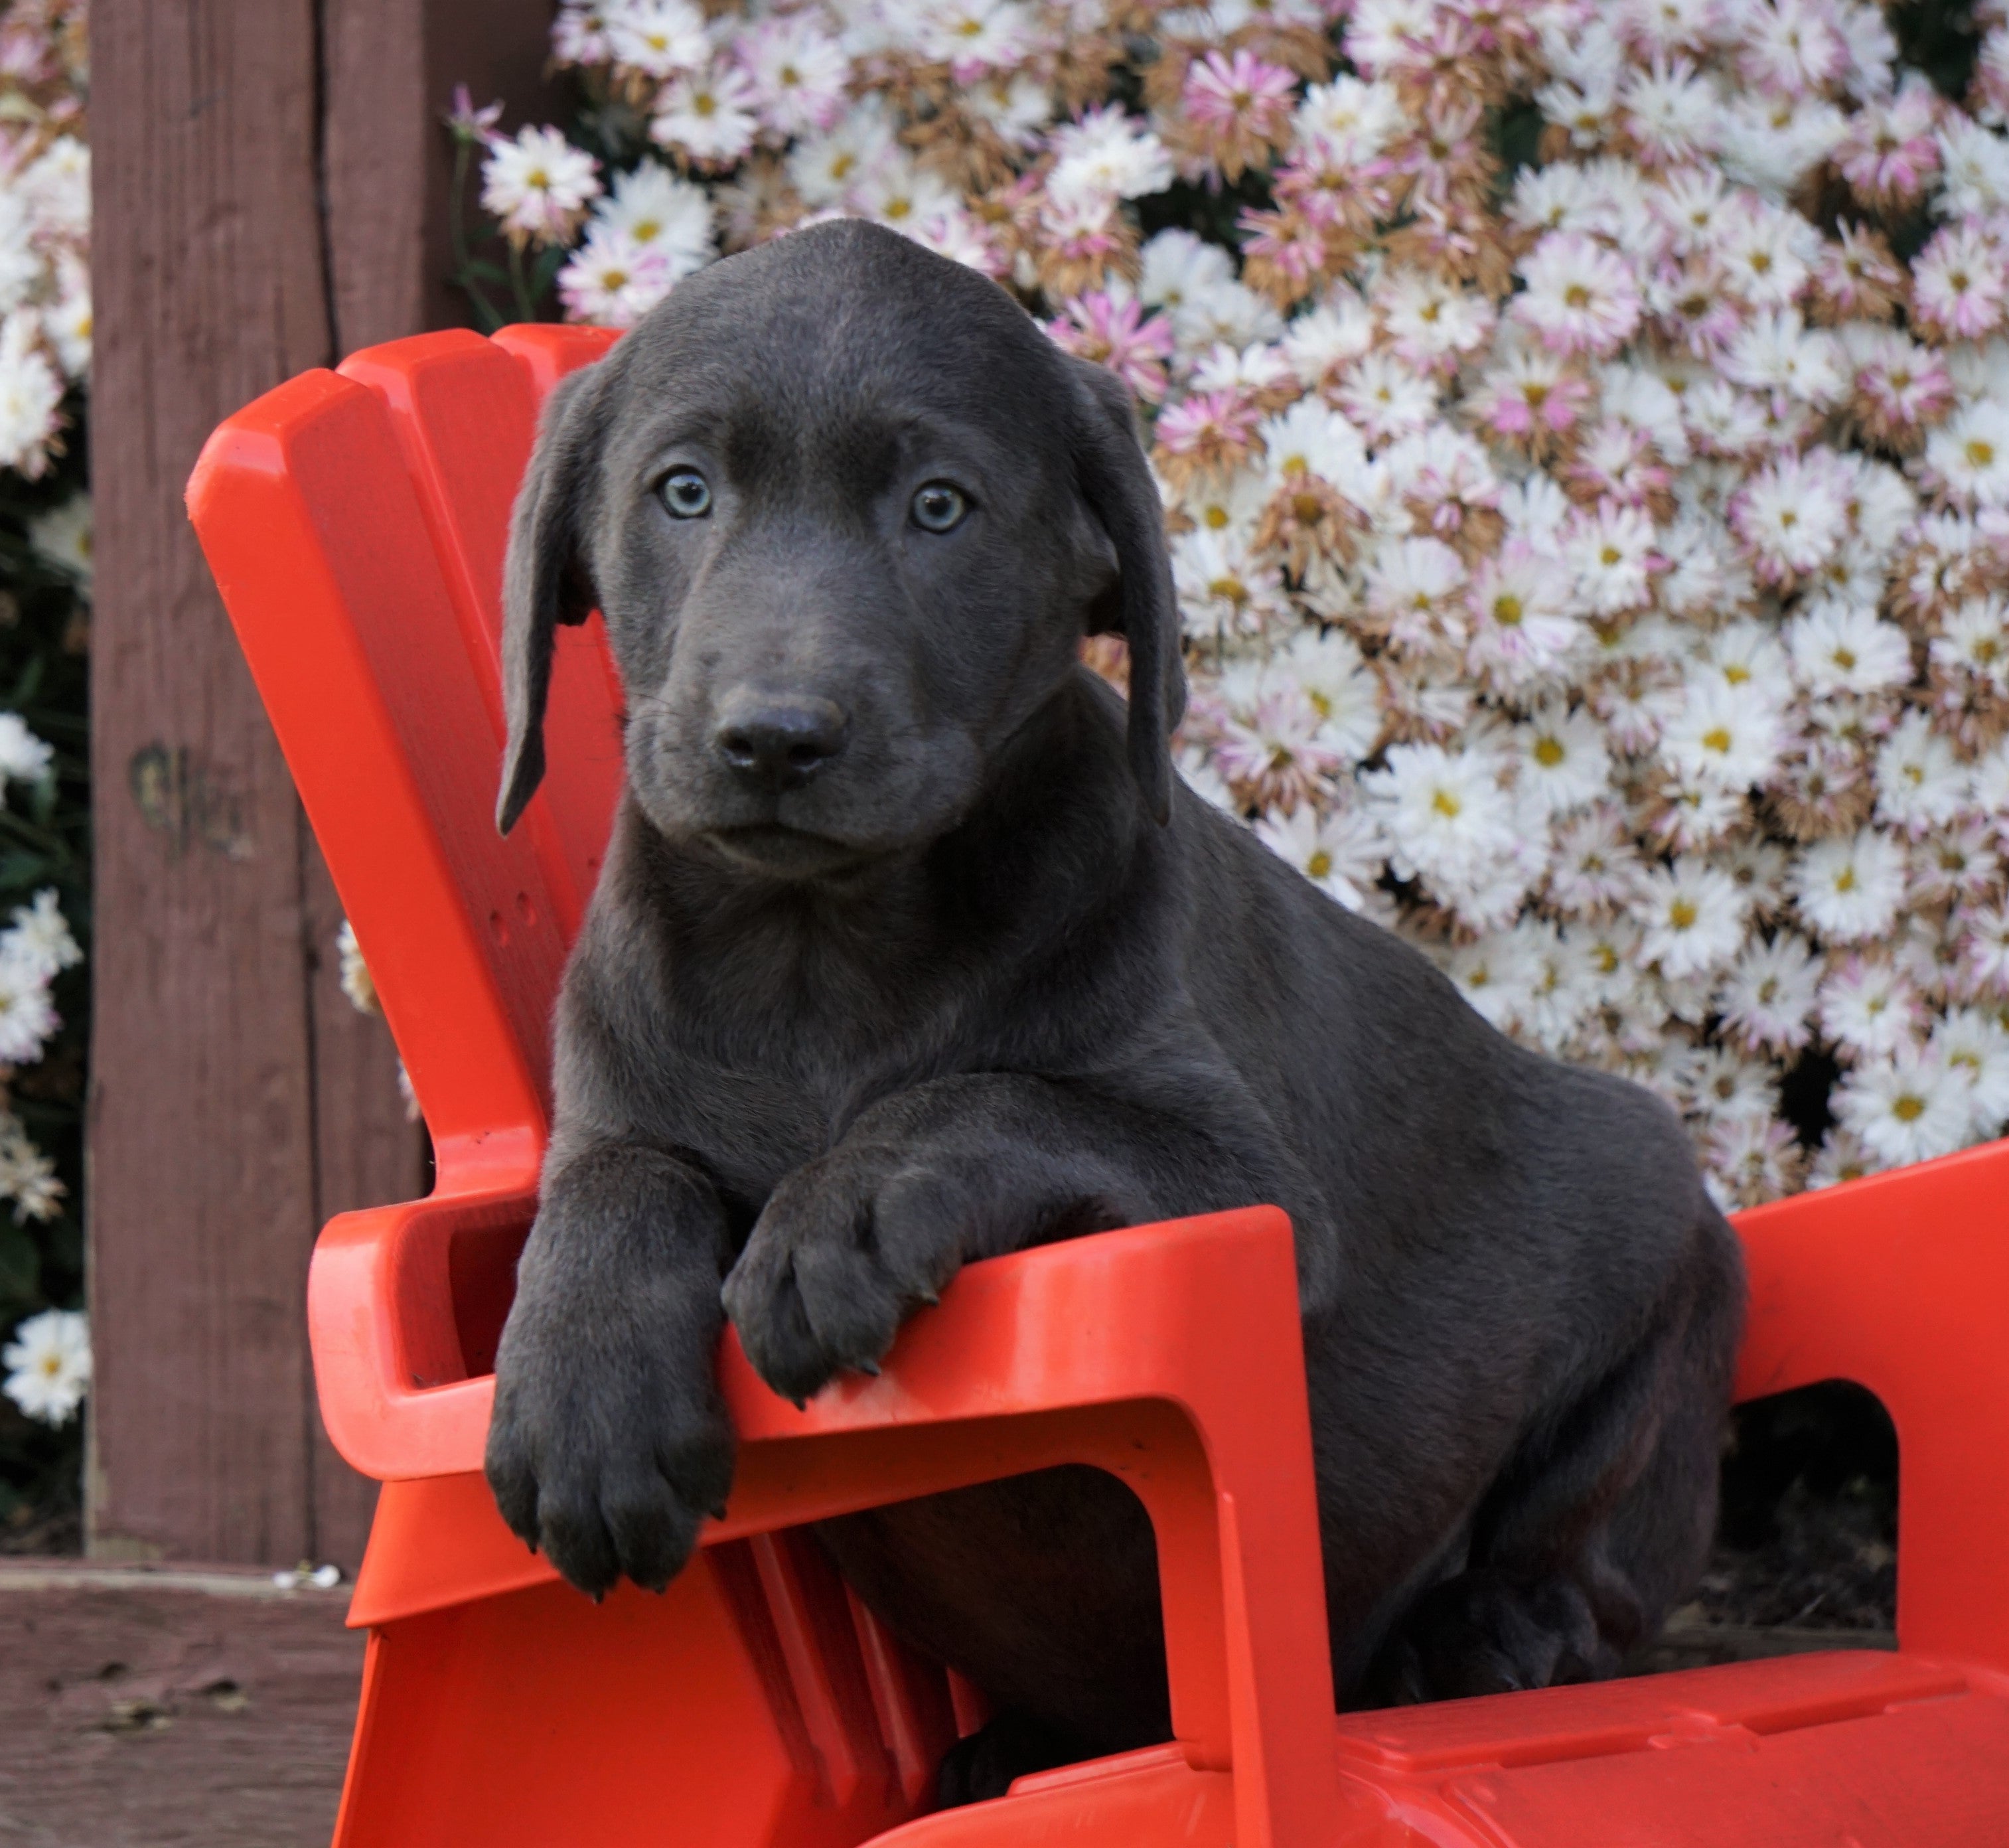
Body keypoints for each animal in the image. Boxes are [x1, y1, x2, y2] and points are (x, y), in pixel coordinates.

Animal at [482, 216, 1744, 1792]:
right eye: (684, 490)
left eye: (939, 508)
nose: (773, 737)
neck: (817, 956)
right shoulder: (613, 1108)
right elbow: (610, 1189)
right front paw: (582, 1391)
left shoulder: (1245, 1182)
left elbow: (986, 1092)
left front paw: (838, 1209)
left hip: (1663, 1248)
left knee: (1592, 1552)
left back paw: (1484, 1636)